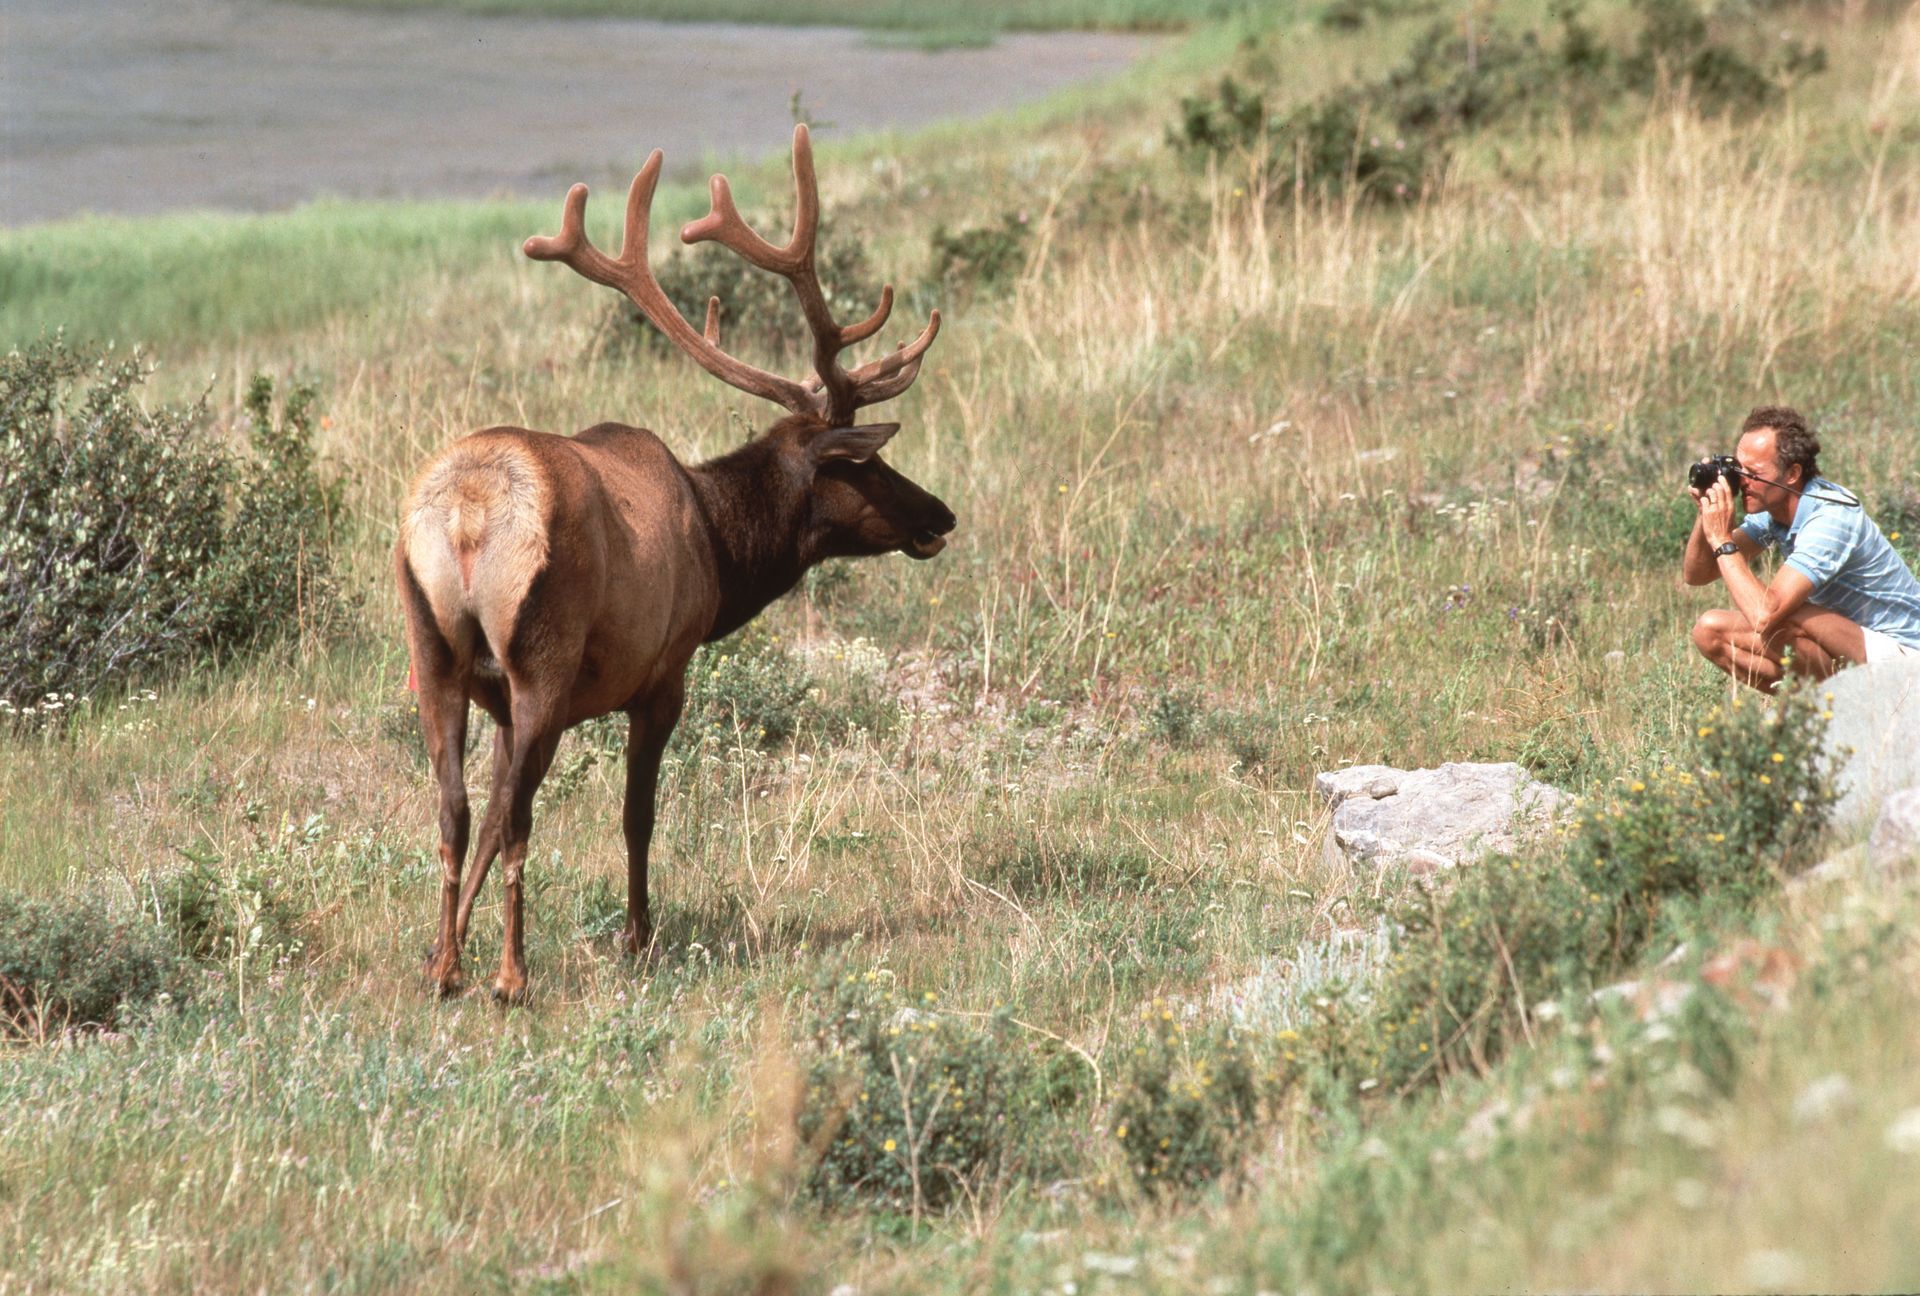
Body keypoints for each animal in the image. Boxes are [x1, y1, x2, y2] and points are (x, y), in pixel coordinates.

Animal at [395, 125, 954, 1003]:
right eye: (867, 464)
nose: (941, 514)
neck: (722, 554)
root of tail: (470, 510)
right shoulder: (664, 671)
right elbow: (637, 814)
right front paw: (638, 936)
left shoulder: (496, 702)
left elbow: (479, 818)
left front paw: (437, 949)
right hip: (543, 658)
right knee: (520, 813)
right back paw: (513, 976)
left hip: (435, 650)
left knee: (453, 809)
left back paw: (451, 971)